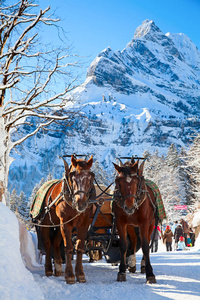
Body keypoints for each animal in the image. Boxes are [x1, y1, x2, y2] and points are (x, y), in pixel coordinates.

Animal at [40, 155, 95, 284]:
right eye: (73, 177)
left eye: (90, 178)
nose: (81, 203)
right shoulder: (65, 224)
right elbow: (69, 248)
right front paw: (70, 275)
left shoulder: (84, 224)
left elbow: (79, 247)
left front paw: (80, 274)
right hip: (46, 224)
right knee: (48, 243)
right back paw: (49, 269)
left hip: (58, 225)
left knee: (55, 243)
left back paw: (58, 267)